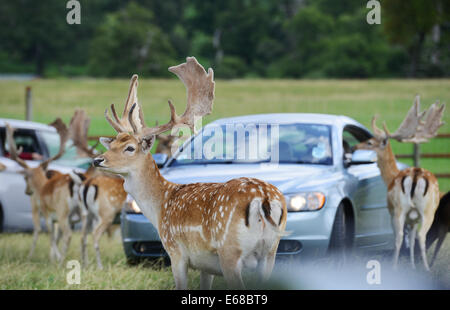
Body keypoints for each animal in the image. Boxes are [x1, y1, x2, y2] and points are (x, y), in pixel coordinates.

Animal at [94, 57, 288, 290]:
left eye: (130, 148)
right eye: (112, 144)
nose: (97, 160)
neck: (161, 206)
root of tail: (264, 198)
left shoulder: (175, 251)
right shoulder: (206, 265)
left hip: (230, 252)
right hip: (270, 253)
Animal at [356, 95, 446, 270]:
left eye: (370, 142)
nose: (355, 145)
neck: (391, 177)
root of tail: (416, 175)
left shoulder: (392, 211)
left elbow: (404, 238)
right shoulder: (413, 218)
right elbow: (411, 240)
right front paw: (412, 266)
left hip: (401, 208)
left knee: (400, 237)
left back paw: (396, 266)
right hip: (426, 211)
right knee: (420, 236)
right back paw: (425, 268)